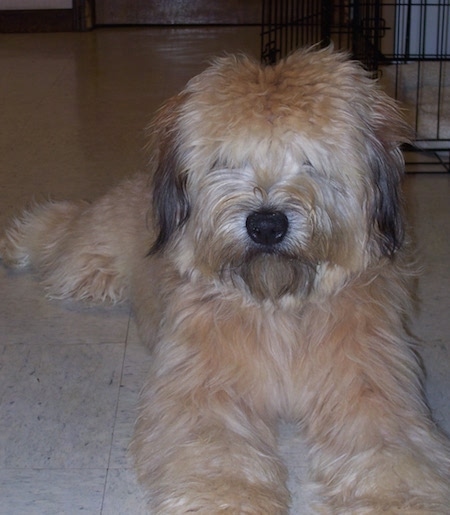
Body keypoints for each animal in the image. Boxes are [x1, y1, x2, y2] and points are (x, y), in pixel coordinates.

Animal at [0, 47, 450, 512]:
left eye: (310, 159)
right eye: (228, 162)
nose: (266, 225)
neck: (278, 306)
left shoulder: (369, 383)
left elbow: (390, 446)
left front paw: (395, 498)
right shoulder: (206, 387)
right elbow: (217, 448)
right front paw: (226, 497)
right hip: (86, 262)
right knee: (60, 230)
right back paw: (20, 239)